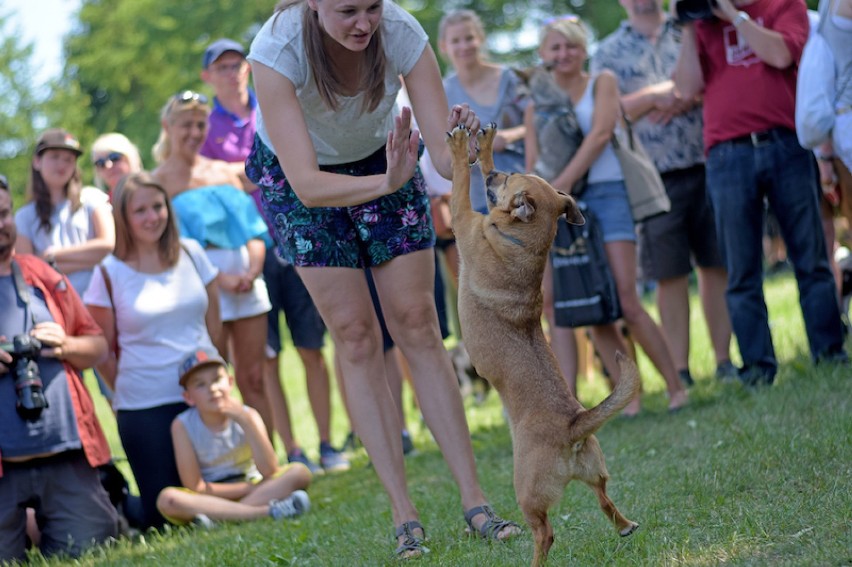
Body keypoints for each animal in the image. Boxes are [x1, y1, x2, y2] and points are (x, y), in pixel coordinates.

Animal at [446, 125, 640, 567]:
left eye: (508, 180)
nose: (495, 172)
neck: (525, 244)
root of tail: (573, 427)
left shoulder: (463, 219)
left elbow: (461, 186)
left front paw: (461, 150)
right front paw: (484, 147)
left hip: (527, 492)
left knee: (546, 533)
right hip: (595, 470)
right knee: (604, 498)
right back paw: (624, 525)